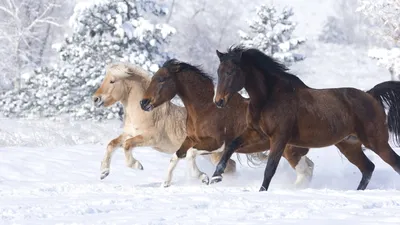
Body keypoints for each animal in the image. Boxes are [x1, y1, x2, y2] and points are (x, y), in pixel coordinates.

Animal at [90, 60, 238, 184]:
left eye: (112, 81)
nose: (95, 99)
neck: (144, 113)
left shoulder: (151, 138)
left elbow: (126, 145)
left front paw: (137, 165)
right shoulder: (129, 133)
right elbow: (112, 144)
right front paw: (104, 172)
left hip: (214, 153)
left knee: (231, 166)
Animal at [141, 58, 316, 188]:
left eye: (161, 79)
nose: (143, 103)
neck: (206, 108)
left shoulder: (217, 144)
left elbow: (190, 154)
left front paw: (204, 177)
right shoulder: (191, 139)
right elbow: (176, 156)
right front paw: (165, 183)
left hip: (288, 150)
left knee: (304, 172)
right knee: (309, 167)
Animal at [209, 45, 400, 192]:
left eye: (231, 72)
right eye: (219, 71)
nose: (218, 101)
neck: (269, 97)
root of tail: (371, 95)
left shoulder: (279, 138)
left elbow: (270, 168)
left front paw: (261, 192)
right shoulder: (256, 133)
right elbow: (231, 146)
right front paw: (215, 177)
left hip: (376, 142)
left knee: (392, 164)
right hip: (349, 145)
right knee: (368, 168)